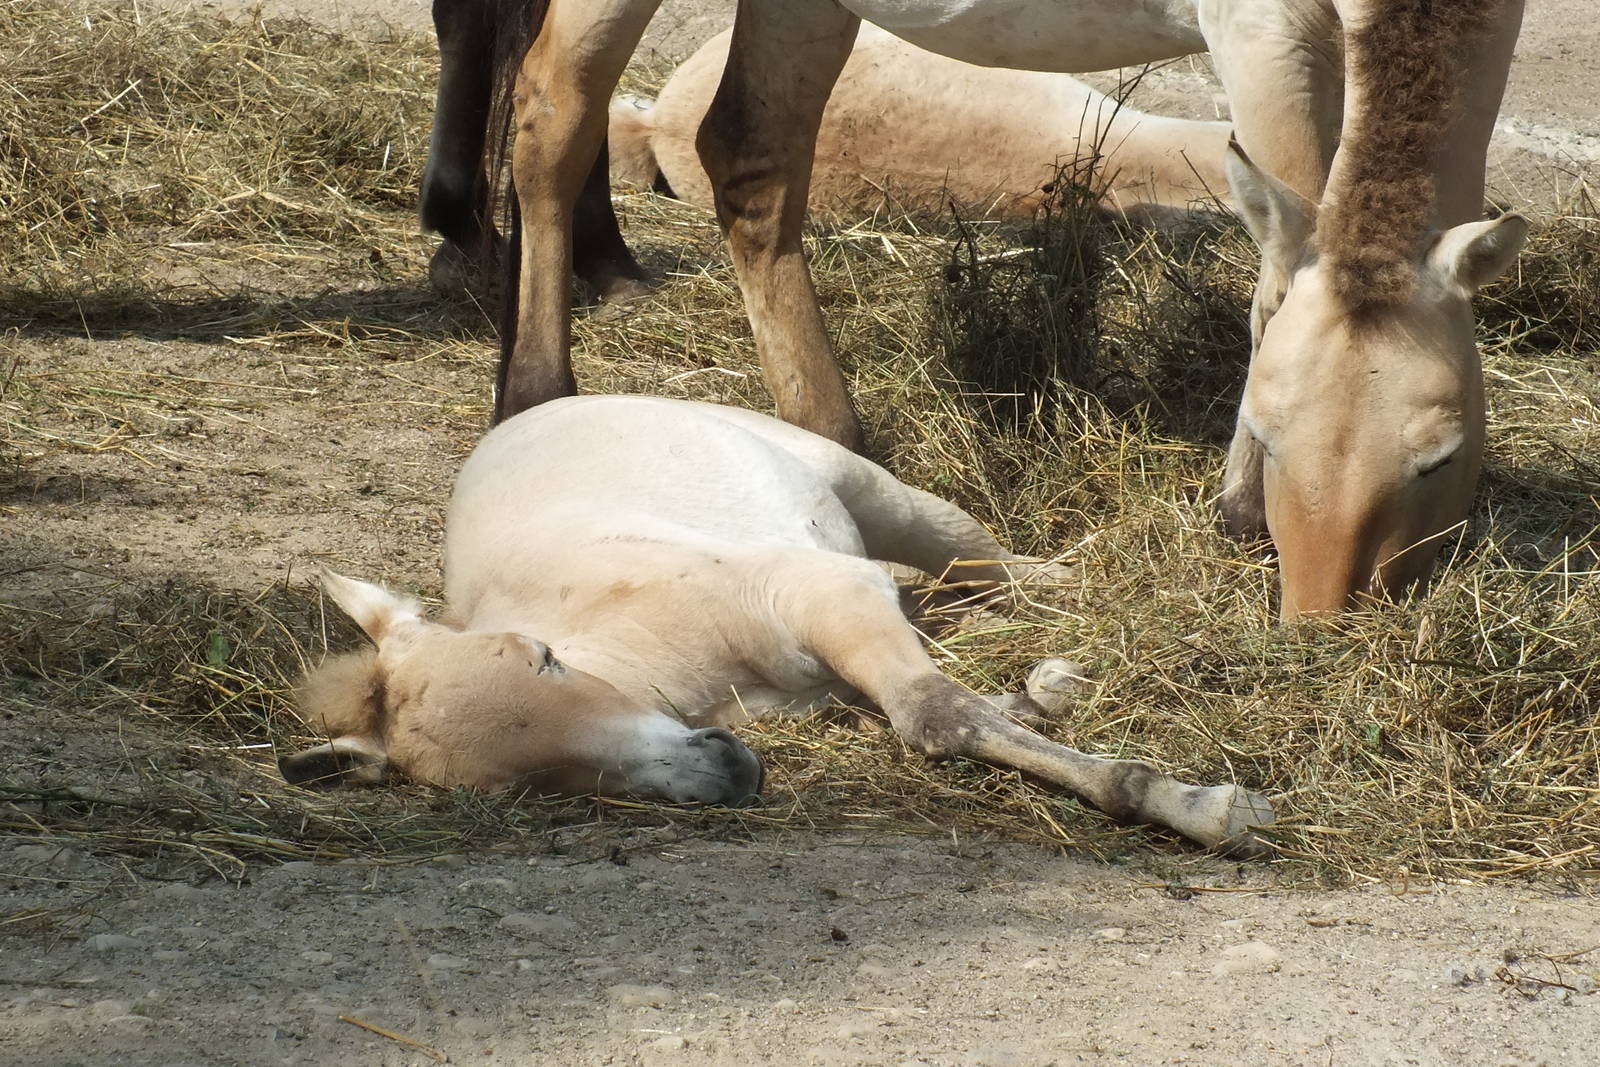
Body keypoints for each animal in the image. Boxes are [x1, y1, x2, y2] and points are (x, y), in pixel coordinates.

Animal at [279, 395, 1275, 855]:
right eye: (521, 787)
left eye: (545, 659)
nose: (726, 768)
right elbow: (938, 702)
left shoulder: (821, 592)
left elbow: (935, 713)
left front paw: (1201, 804)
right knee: (948, 607)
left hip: (882, 497)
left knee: (987, 569)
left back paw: (1078, 589)